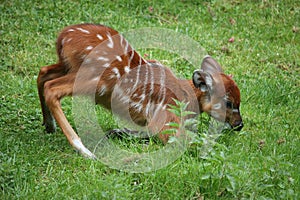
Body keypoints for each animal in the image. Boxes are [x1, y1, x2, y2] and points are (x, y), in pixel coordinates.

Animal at [37, 23, 244, 158]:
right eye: (228, 102)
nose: (239, 124)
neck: (187, 96)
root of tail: (63, 37)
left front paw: (118, 131)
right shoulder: (166, 116)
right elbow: (179, 139)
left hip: (67, 67)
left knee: (43, 72)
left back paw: (49, 125)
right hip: (94, 79)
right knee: (52, 88)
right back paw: (83, 149)